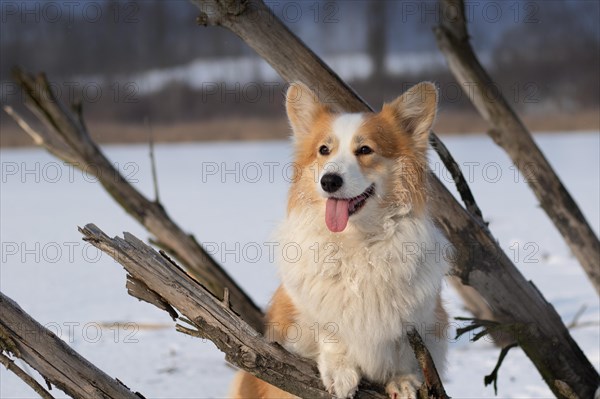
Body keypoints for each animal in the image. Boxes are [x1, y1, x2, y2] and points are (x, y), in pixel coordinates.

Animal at [230, 83, 450, 398]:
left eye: (365, 149)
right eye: (324, 150)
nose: (329, 181)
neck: (356, 240)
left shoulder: (419, 317)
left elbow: (404, 350)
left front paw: (403, 379)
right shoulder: (309, 308)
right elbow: (333, 332)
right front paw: (341, 372)